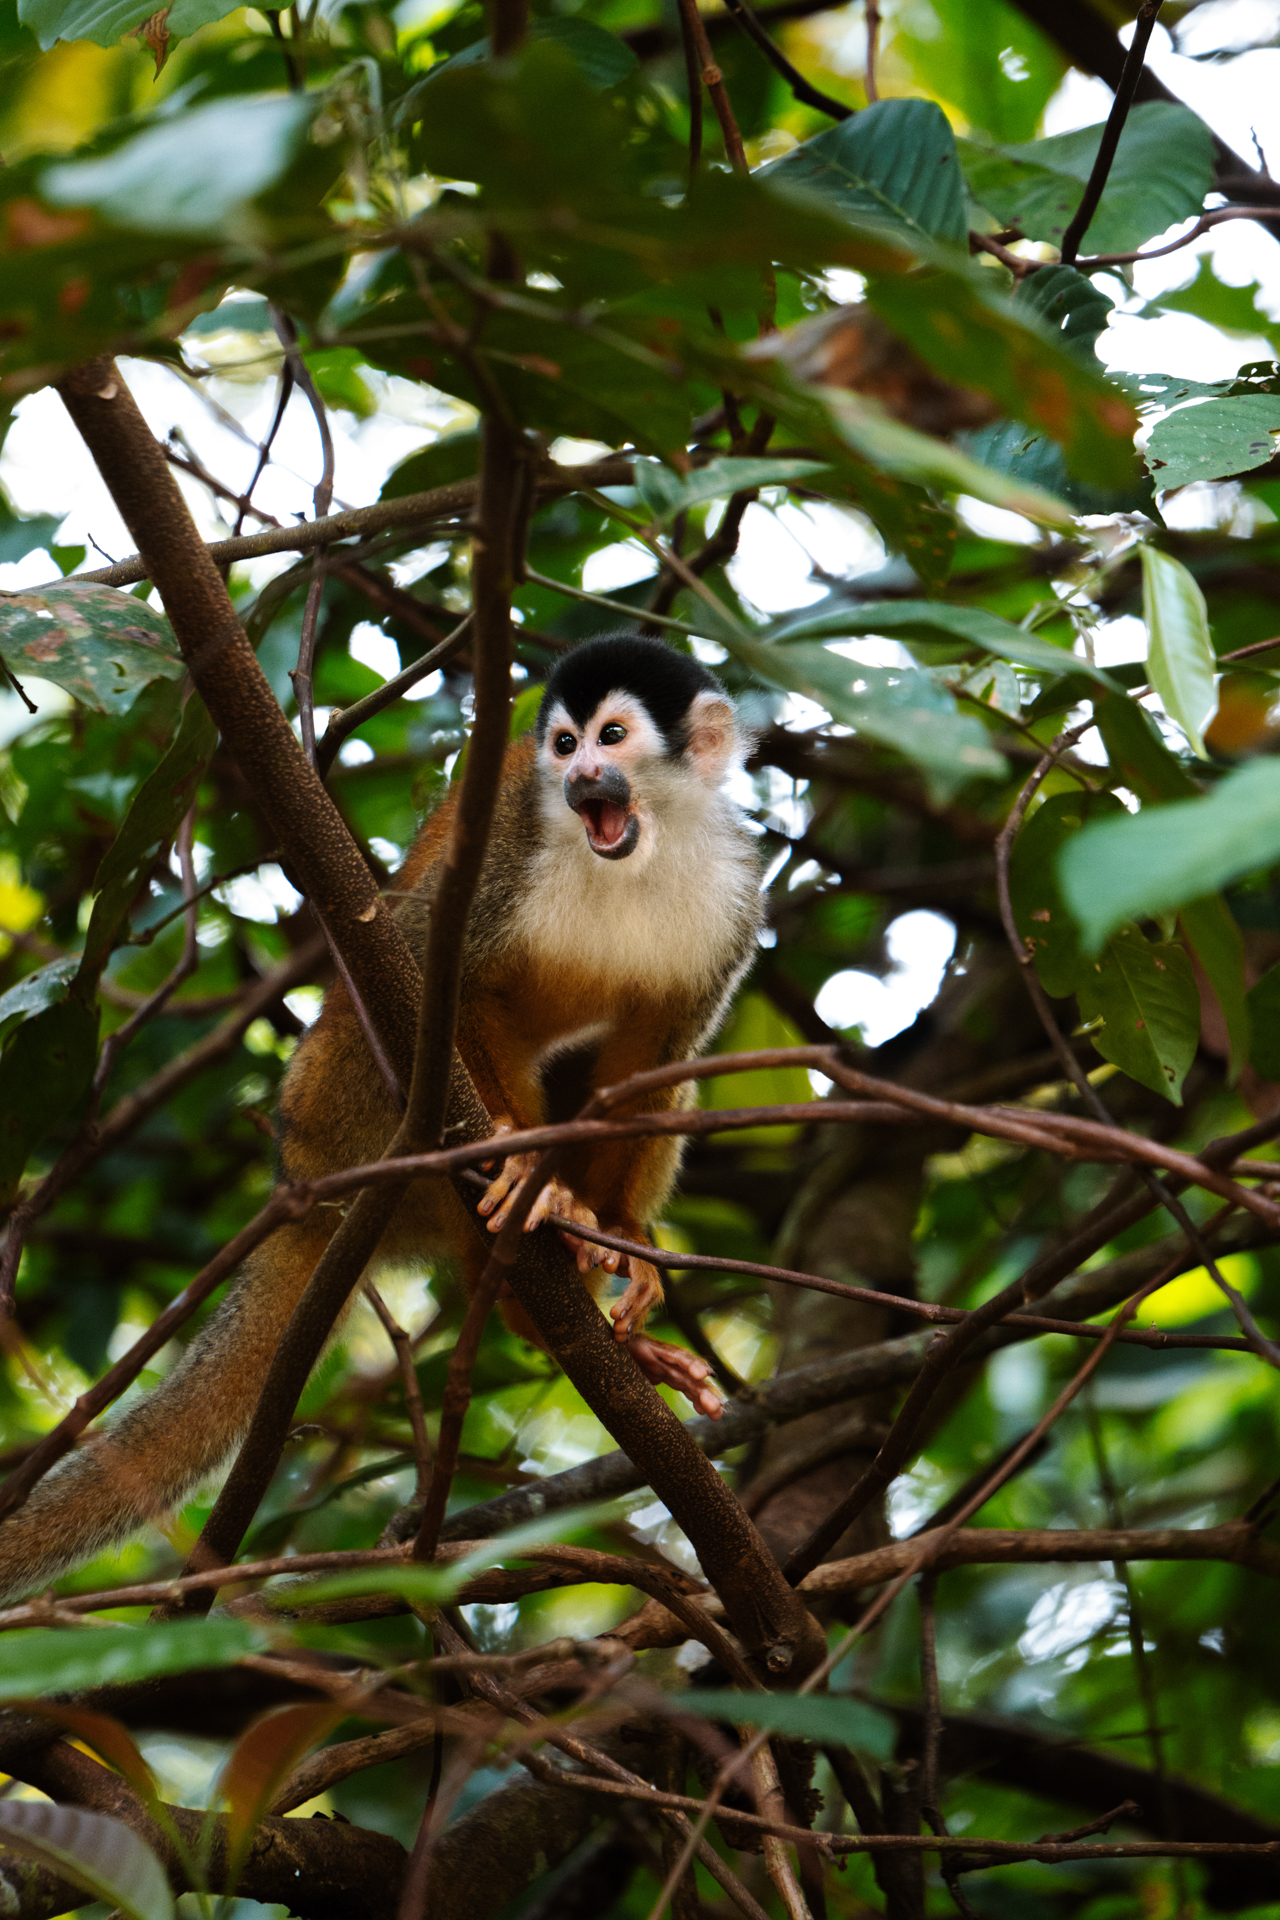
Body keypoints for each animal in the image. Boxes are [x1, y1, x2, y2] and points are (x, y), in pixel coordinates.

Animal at [0, 634, 762, 1603]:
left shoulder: (735, 898)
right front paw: (526, 1165)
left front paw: (622, 1230)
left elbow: (658, 1051)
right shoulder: (505, 848)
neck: (636, 851)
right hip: (338, 1098)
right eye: (563, 744)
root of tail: (301, 1174)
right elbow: (438, 975)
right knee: (390, 993)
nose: (582, 774)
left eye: (613, 737)